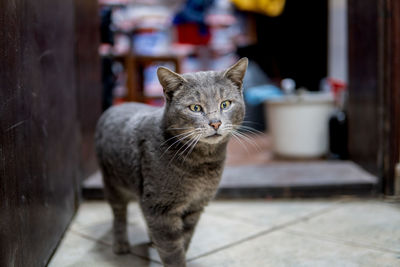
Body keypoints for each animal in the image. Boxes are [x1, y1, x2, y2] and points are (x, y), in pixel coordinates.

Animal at [95, 57, 248, 266]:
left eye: (225, 104)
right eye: (195, 108)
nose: (215, 123)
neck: (202, 163)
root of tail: (116, 106)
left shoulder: (194, 207)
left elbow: (185, 239)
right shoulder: (161, 209)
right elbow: (172, 250)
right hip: (112, 184)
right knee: (119, 214)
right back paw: (120, 244)